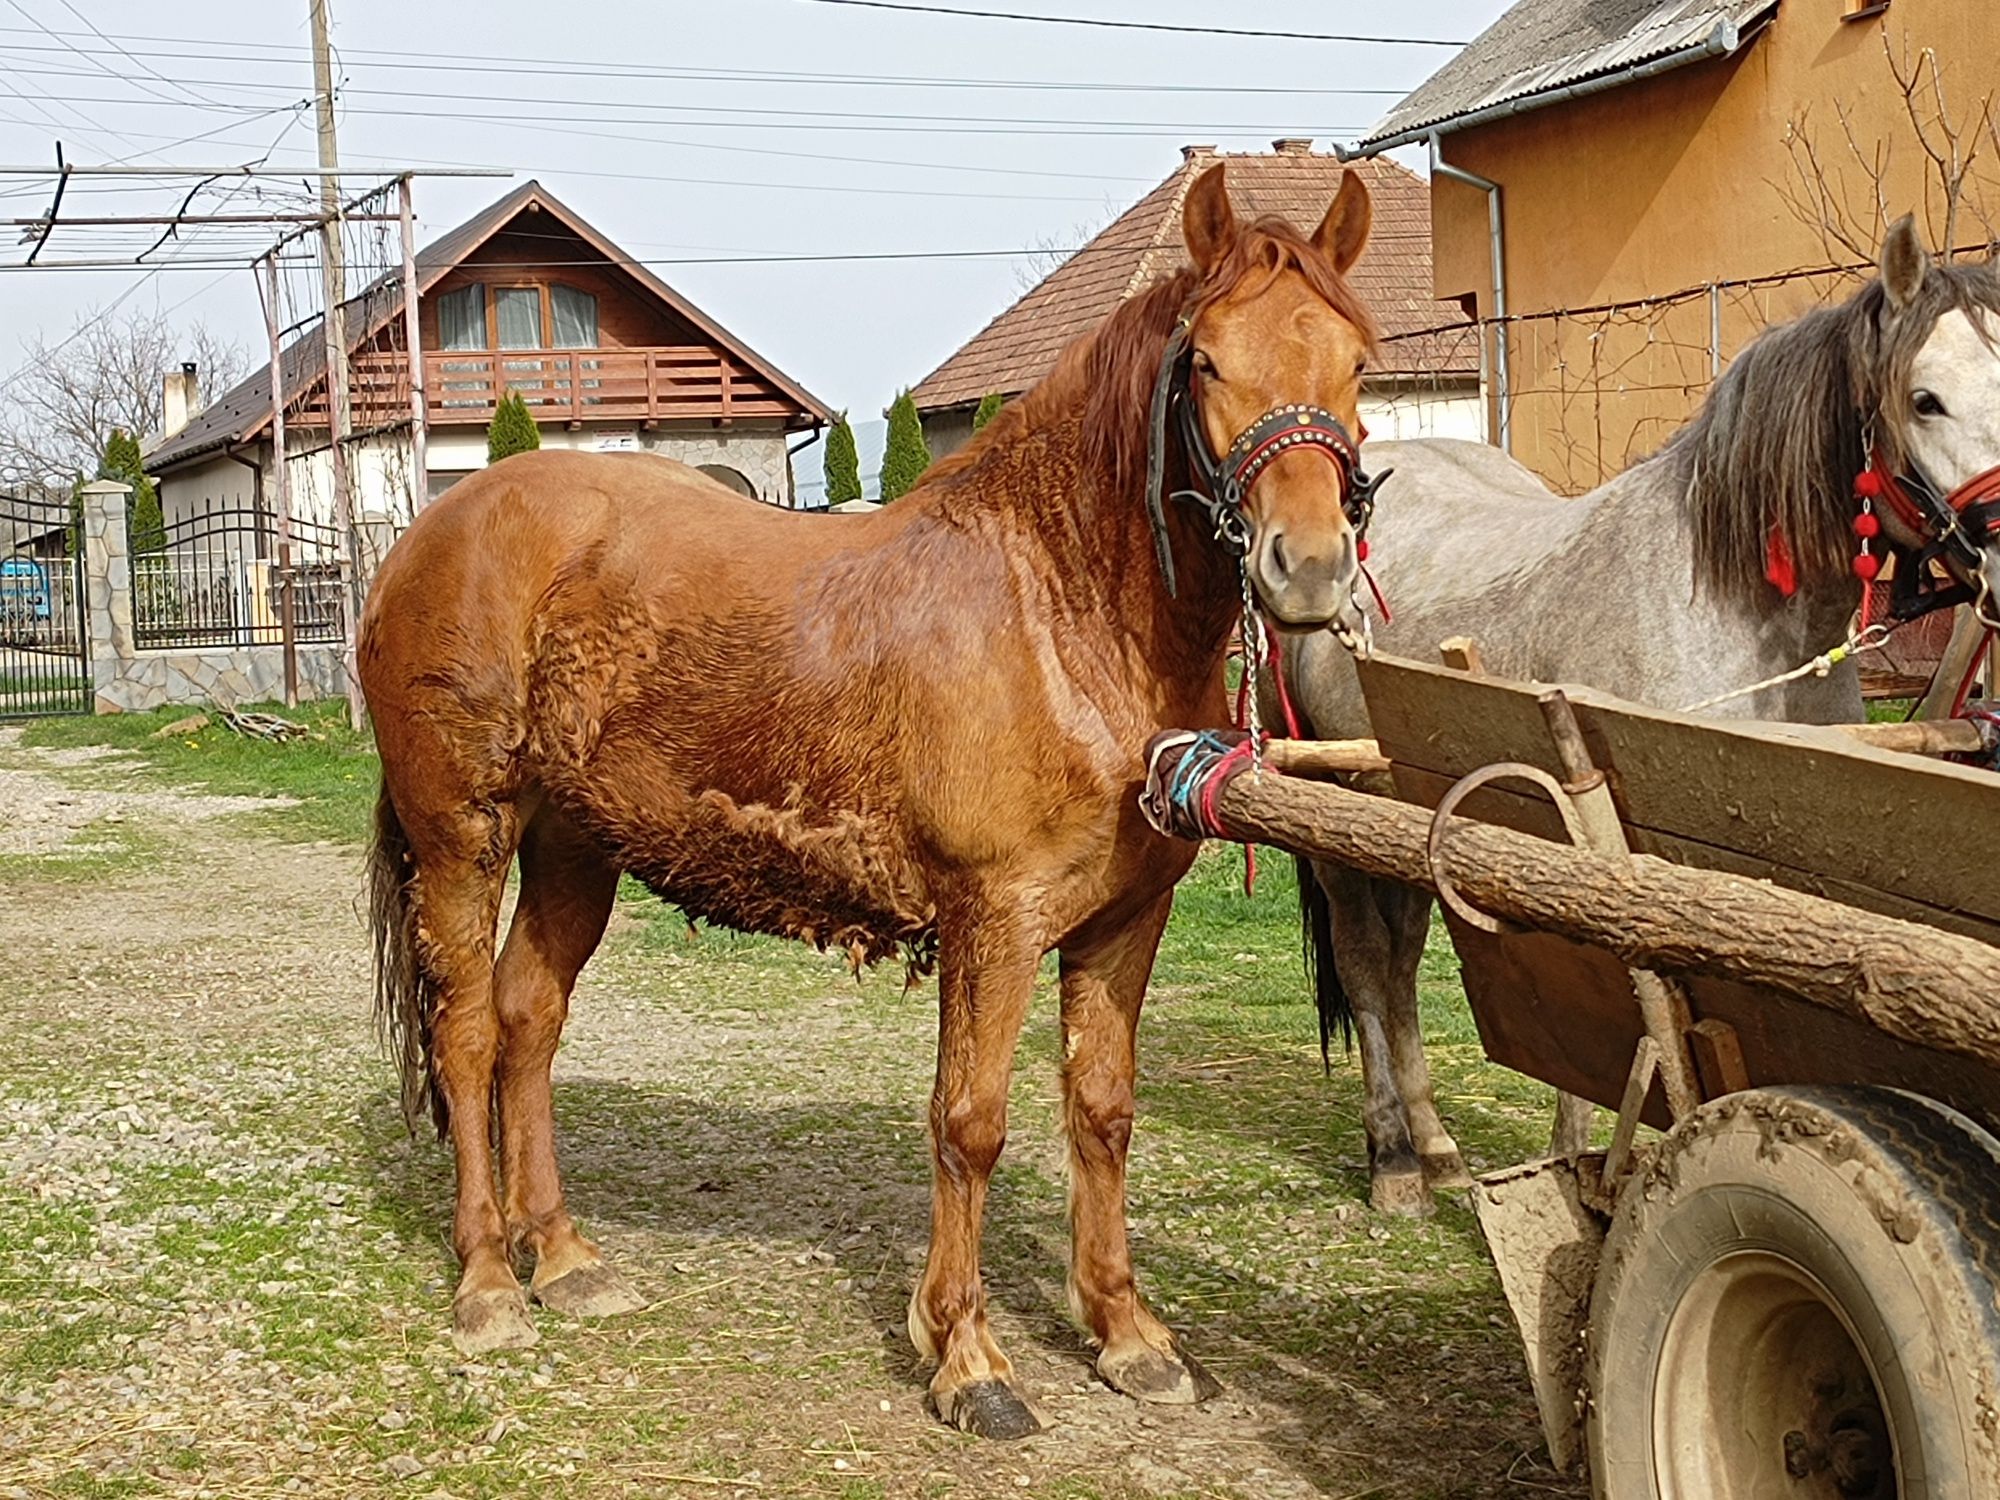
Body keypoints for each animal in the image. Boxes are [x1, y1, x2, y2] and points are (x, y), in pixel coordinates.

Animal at [364, 159, 1376, 1440]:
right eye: (1203, 362)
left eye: (1357, 361)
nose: (1308, 565)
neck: (1058, 611)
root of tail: (428, 533)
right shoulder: (992, 923)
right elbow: (969, 1123)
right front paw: (968, 1358)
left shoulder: (1123, 920)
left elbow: (1100, 1108)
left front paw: (1125, 1333)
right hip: (465, 836)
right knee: (462, 1033)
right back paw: (491, 1280)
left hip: (572, 848)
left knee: (525, 1021)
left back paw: (567, 1259)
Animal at [1272, 217, 2000, 1216]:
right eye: (1926, 400)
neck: (1730, 606)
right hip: (1336, 816)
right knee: (1364, 963)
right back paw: (1396, 1158)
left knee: (1404, 956)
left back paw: (1436, 1146)